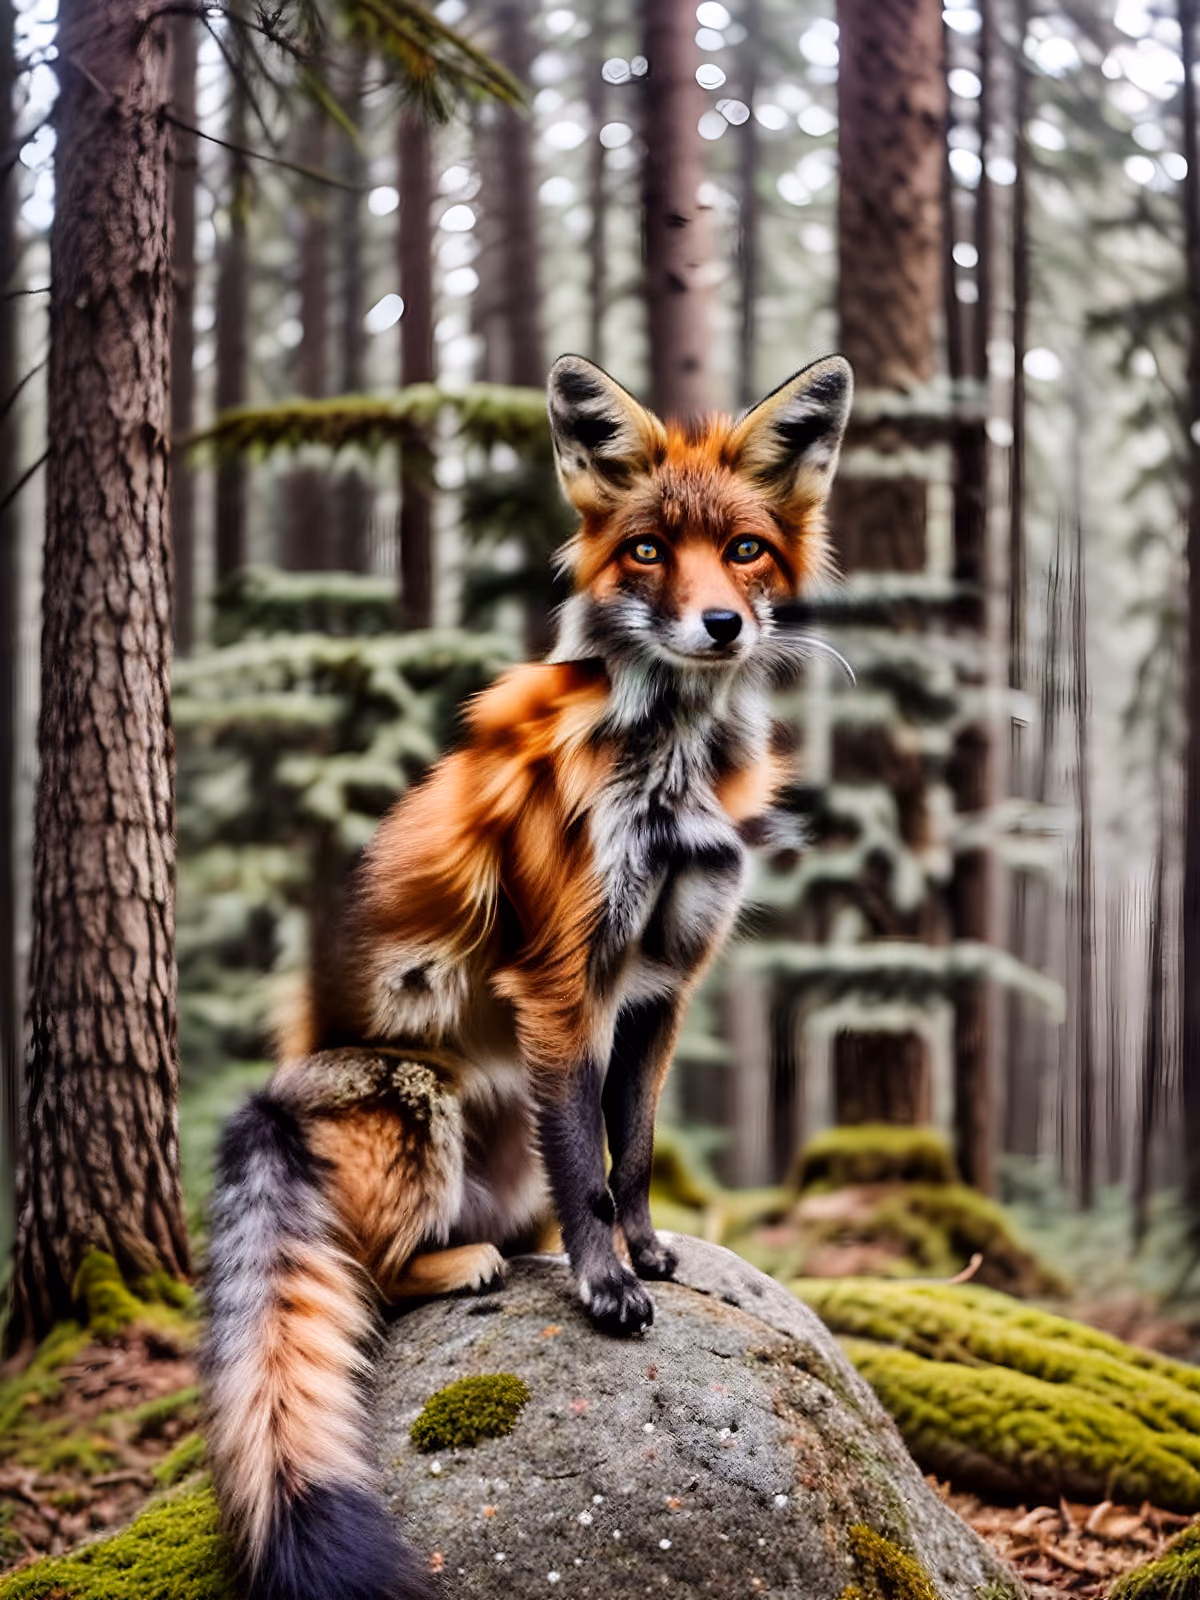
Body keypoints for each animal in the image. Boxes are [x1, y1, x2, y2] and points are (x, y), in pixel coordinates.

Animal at [202, 352, 853, 1600]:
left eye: (745, 549)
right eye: (647, 549)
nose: (717, 624)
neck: (672, 783)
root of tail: (271, 1099)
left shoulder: (662, 984)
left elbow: (627, 1152)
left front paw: (647, 1251)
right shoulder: (563, 982)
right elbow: (584, 1169)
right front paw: (606, 1286)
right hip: (418, 1094)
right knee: (370, 1273)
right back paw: (463, 1267)